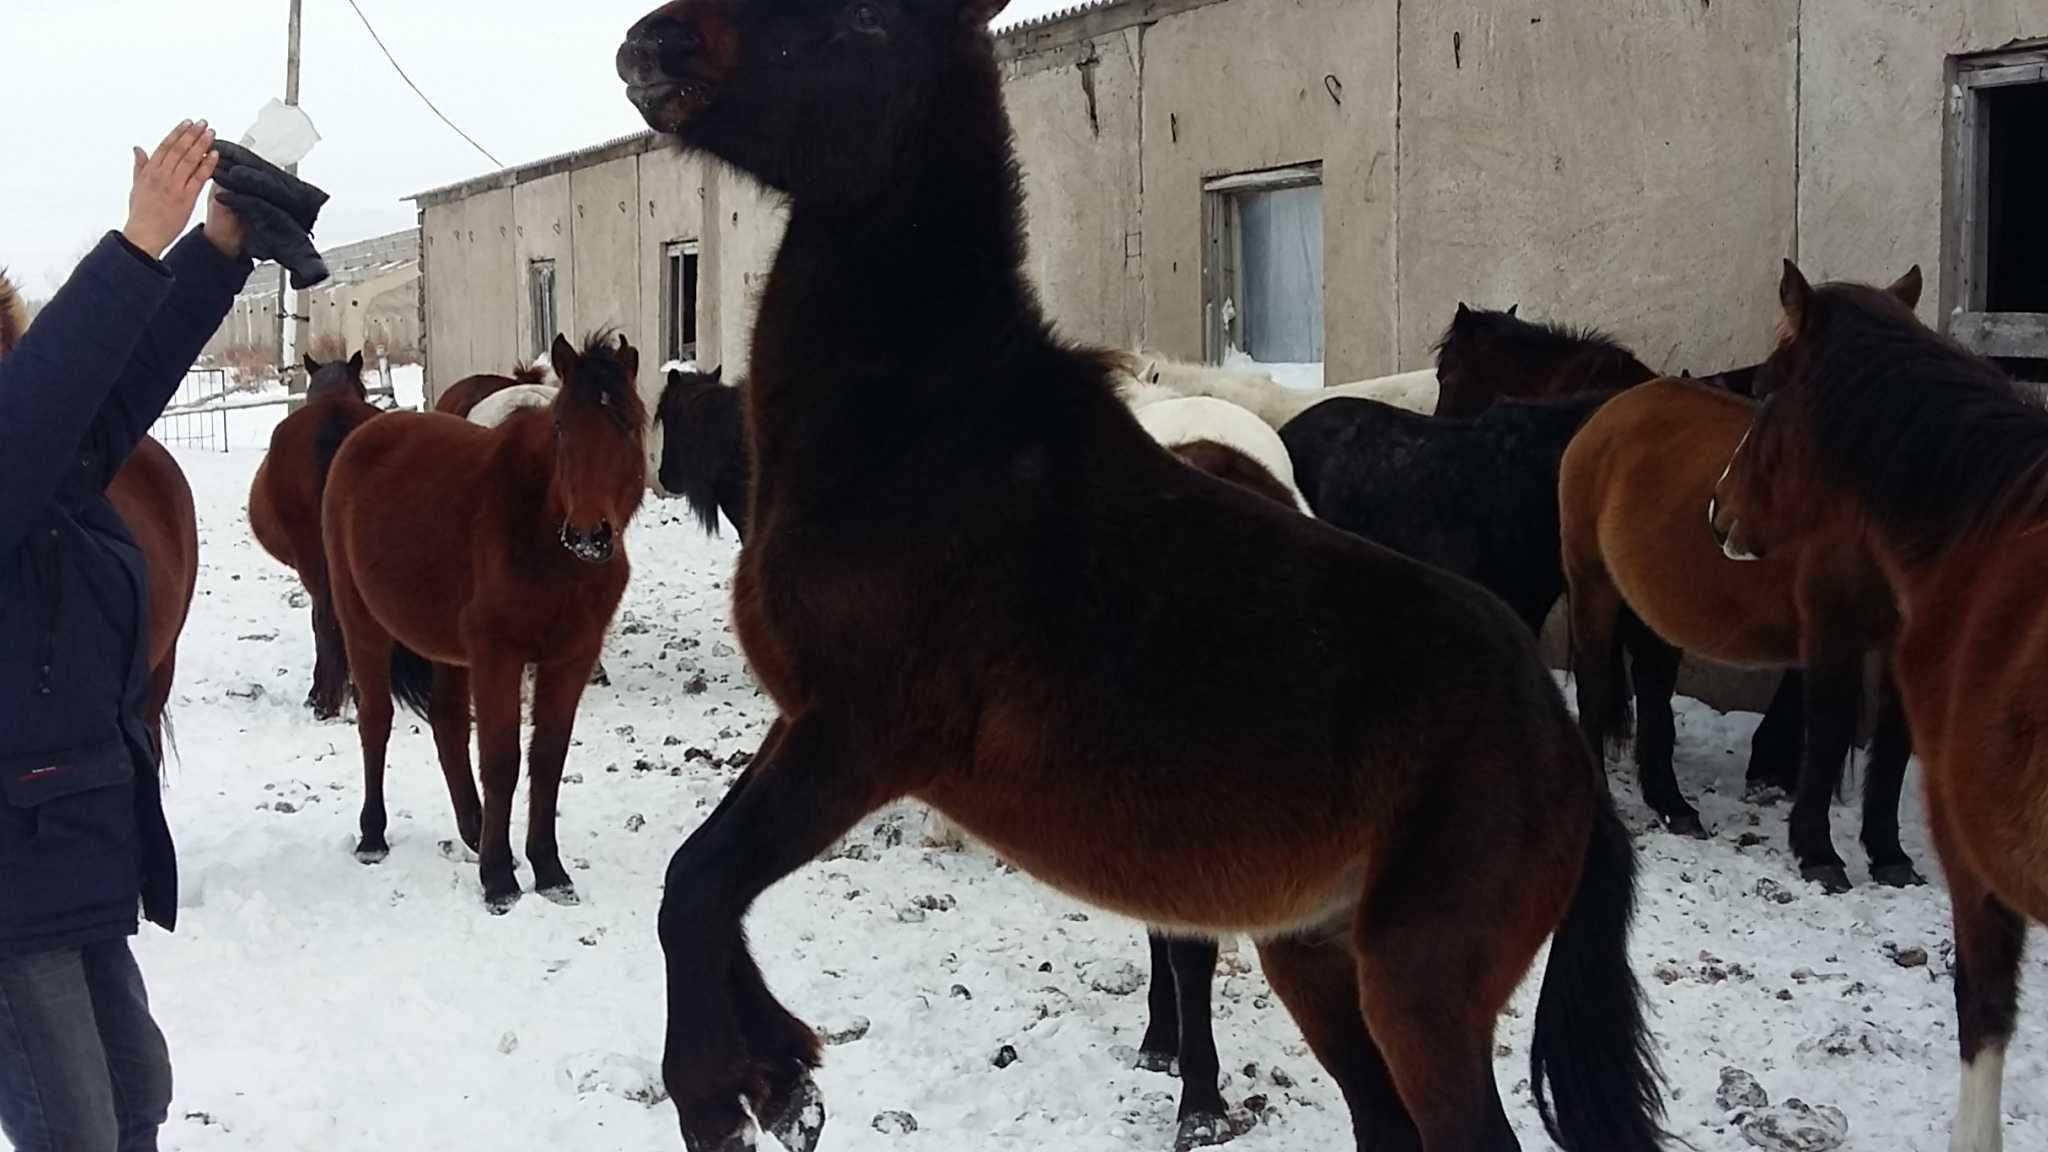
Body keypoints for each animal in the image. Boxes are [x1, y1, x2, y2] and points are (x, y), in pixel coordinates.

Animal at [323, 330, 643, 906]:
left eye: (627, 424)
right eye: (561, 428)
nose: (590, 535)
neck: (543, 540)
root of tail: (366, 434)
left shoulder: (571, 658)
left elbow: (547, 760)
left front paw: (549, 870)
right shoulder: (499, 656)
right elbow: (501, 760)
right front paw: (499, 880)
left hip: (446, 648)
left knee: (448, 724)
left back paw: (473, 830)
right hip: (363, 625)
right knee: (376, 721)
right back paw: (373, 836)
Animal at [614, 2, 1654, 1147]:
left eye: (866, 21)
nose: (650, 48)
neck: (920, 436)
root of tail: (1564, 756)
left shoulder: (858, 738)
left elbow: (696, 888)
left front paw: (723, 1097)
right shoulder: (806, 726)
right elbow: (698, 885)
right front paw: (781, 1076)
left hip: (1419, 991)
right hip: (1315, 958)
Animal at [1564, 352, 1916, 889]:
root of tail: (1607, 416)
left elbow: (1894, 745)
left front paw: (1889, 854)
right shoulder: (1831, 633)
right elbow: (1829, 732)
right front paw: (1819, 853)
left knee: (1652, 686)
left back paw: (1674, 805)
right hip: (1593, 586)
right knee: (1595, 687)